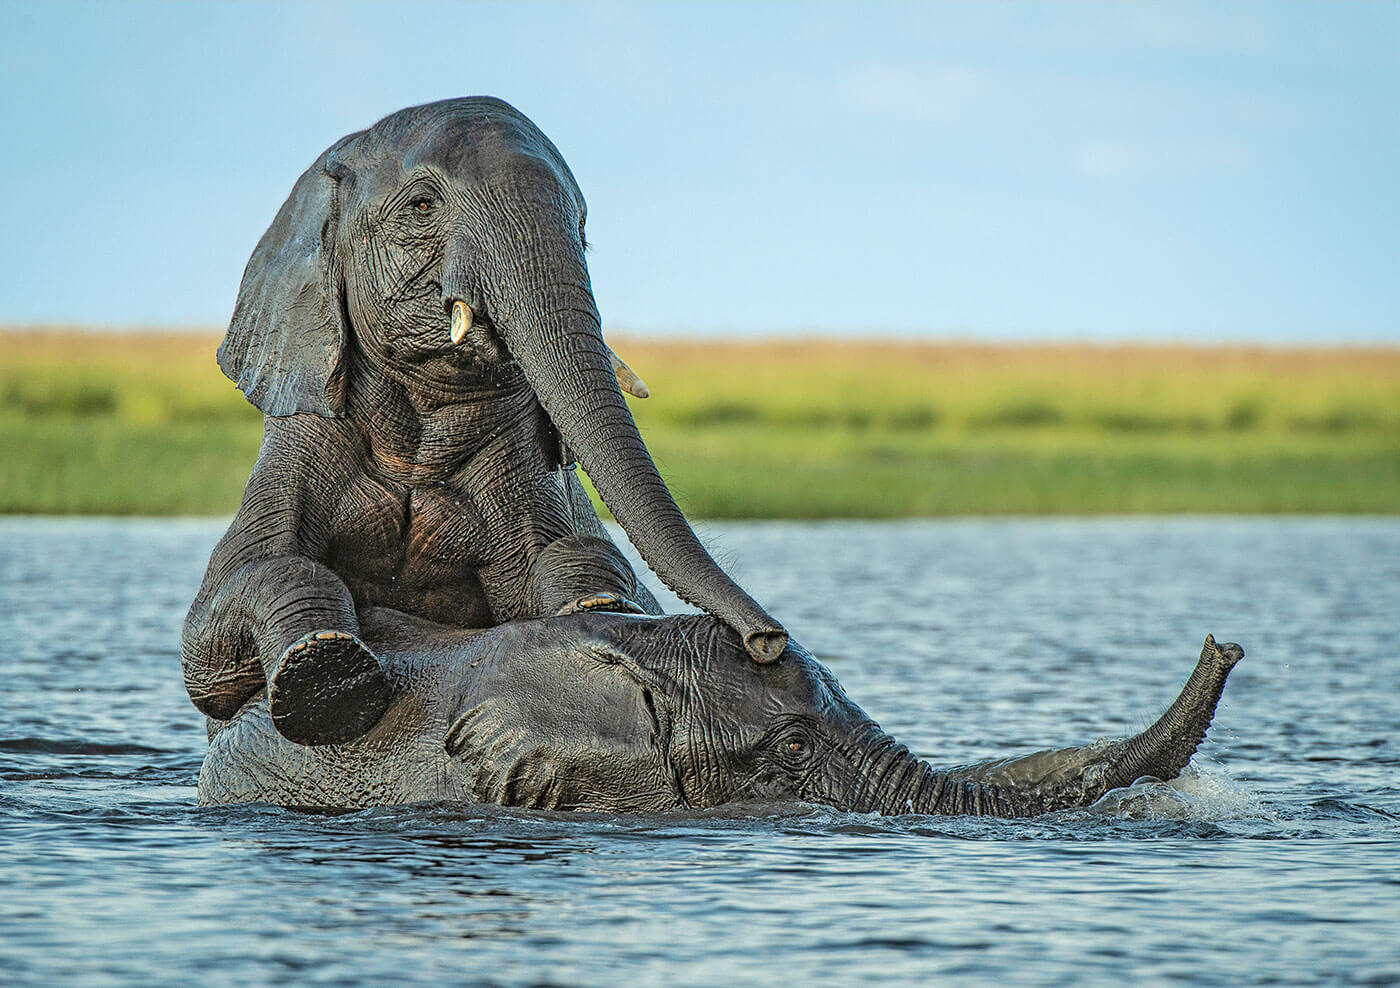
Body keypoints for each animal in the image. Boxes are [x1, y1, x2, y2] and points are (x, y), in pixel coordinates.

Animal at [180, 97, 784, 744]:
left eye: (583, 228)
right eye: (422, 206)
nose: (767, 641)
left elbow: (562, 574)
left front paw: (599, 608)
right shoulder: (300, 436)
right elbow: (213, 639)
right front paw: (323, 671)